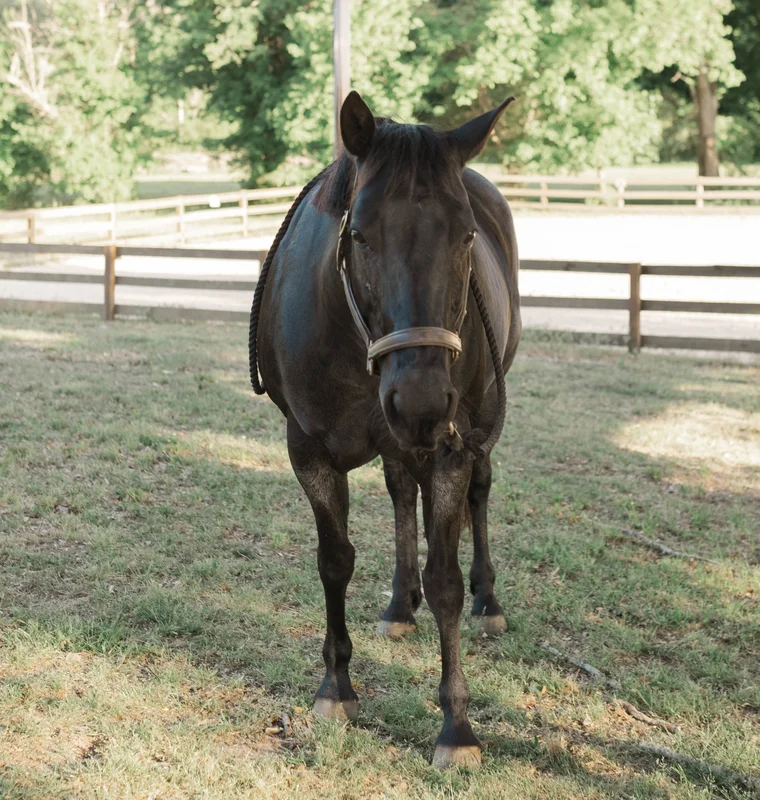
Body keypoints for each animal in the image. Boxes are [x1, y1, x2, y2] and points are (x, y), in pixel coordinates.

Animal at [249, 90, 521, 768]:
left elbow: (445, 579)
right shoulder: (309, 451)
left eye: (467, 235)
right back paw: (400, 603)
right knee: (401, 490)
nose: (421, 399)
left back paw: (488, 600)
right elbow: (335, 560)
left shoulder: (451, 446)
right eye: (360, 234)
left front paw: (456, 726)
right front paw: (335, 687)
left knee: (478, 494)